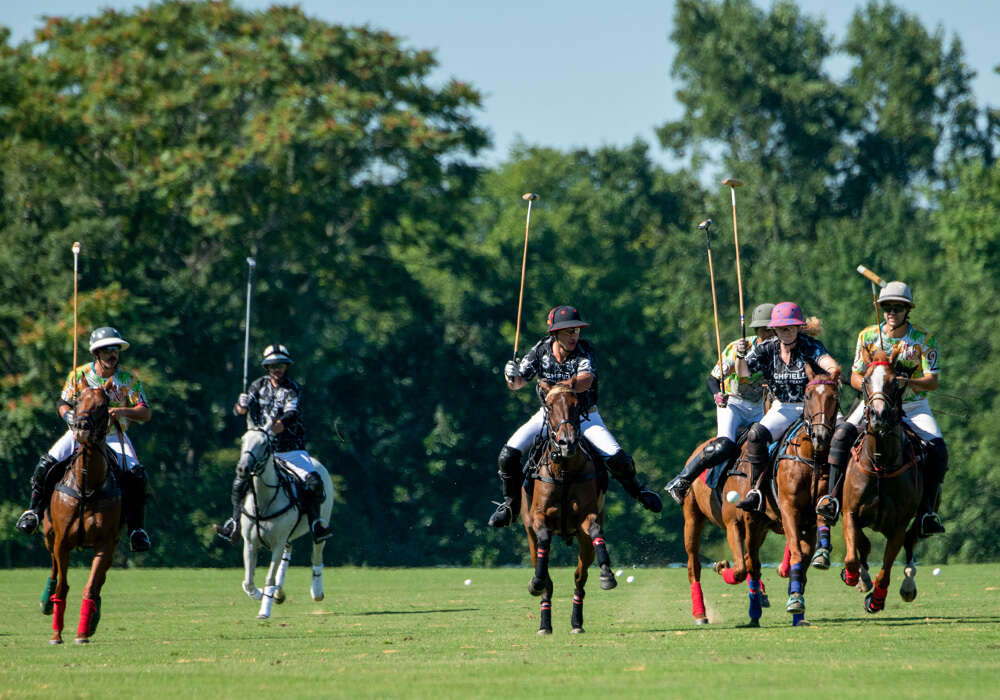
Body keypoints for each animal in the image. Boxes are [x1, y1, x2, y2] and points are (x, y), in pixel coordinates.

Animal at [40, 382, 122, 644]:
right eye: (77, 402)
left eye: (104, 405)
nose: (81, 427)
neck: (86, 486)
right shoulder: (62, 542)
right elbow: (62, 587)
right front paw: (56, 634)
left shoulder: (106, 544)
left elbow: (91, 586)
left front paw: (83, 633)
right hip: (49, 536)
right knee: (53, 569)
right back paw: (46, 601)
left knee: (100, 582)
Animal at [234, 426, 332, 616]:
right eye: (243, 440)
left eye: (264, 444)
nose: (242, 469)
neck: (264, 501)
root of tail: (317, 462)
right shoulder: (250, 543)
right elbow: (248, 581)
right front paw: (263, 595)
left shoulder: (277, 543)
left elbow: (269, 577)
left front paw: (264, 610)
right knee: (288, 553)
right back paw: (279, 593)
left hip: (322, 520)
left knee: (317, 553)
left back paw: (316, 592)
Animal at [524, 386, 616, 636]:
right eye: (548, 406)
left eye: (577, 405)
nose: (567, 443)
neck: (563, 469)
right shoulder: (537, 517)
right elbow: (544, 539)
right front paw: (536, 582)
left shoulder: (587, 517)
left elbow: (595, 531)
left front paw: (607, 574)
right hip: (530, 536)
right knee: (547, 579)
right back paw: (544, 622)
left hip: (583, 544)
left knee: (579, 578)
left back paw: (576, 622)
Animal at [684, 374, 840, 628]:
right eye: (808, 396)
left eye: (834, 398)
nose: (821, 436)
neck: (807, 458)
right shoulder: (740, 522)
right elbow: (743, 567)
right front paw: (722, 567)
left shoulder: (804, 520)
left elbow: (797, 560)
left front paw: (796, 609)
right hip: (693, 518)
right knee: (693, 565)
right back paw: (700, 613)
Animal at [836, 348, 920, 612]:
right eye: (865, 381)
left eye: (895, 382)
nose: (878, 415)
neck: (881, 464)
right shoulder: (850, 512)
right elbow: (853, 556)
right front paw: (853, 576)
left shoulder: (899, 525)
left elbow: (885, 571)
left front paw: (876, 600)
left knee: (912, 541)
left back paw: (908, 585)